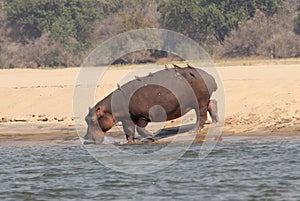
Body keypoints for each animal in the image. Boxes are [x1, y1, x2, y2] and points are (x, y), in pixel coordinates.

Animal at [84, 64, 218, 144]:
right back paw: (216, 121)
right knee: (212, 103)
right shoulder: (127, 119)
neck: (110, 109)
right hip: (201, 101)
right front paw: (129, 142)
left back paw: (193, 131)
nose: (86, 140)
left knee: (201, 116)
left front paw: (152, 136)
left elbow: (139, 129)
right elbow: (129, 132)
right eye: (86, 119)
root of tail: (209, 75)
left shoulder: (143, 116)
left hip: (199, 102)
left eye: (93, 120)